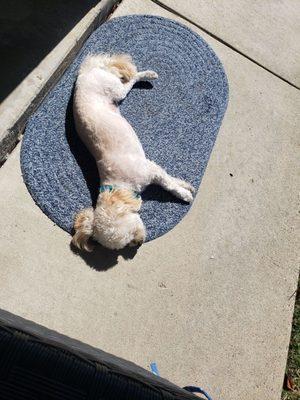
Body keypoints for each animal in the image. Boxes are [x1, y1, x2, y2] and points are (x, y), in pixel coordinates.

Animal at [72, 53, 195, 250]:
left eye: (130, 234)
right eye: (125, 244)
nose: (138, 244)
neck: (119, 185)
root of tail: (85, 73)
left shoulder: (150, 170)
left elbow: (169, 184)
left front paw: (183, 194)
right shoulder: (154, 169)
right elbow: (170, 179)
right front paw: (185, 186)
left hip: (115, 89)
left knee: (130, 79)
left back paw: (148, 75)